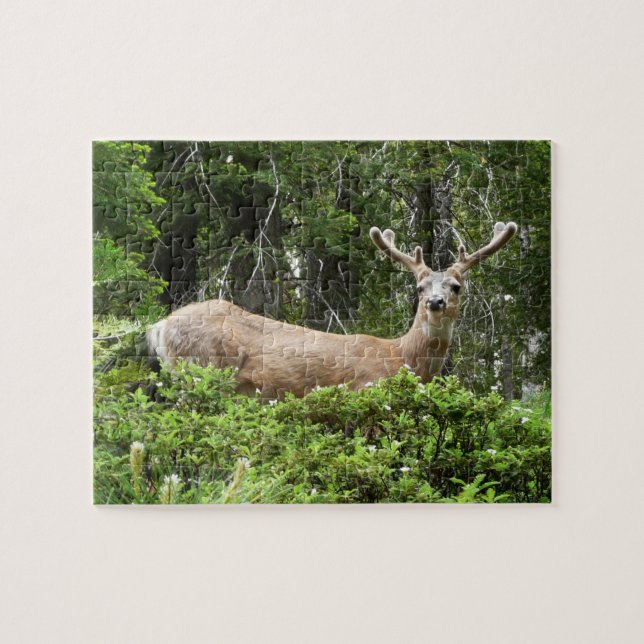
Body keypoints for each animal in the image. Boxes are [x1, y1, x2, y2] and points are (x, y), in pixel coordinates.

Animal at [147, 221, 517, 399]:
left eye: (456, 286)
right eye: (419, 287)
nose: (435, 302)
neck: (402, 358)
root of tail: (160, 326)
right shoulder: (365, 392)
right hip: (200, 367)